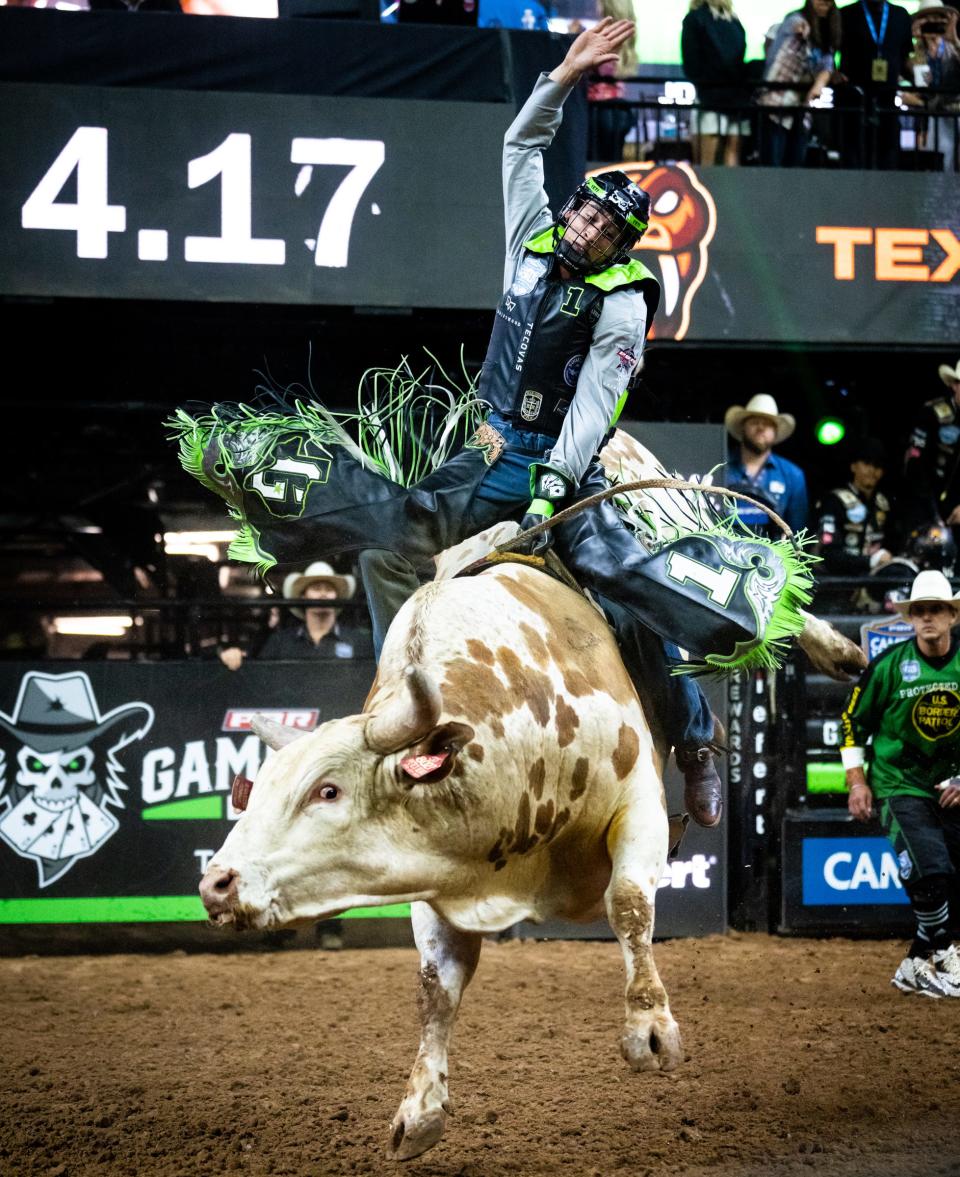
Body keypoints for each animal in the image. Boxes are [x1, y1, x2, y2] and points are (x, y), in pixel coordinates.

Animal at [201, 560, 682, 1158]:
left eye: (328, 790)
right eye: (254, 790)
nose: (215, 884)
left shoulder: (640, 802)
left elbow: (629, 904)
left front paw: (650, 1028)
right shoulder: (436, 877)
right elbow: (436, 986)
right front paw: (419, 1113)